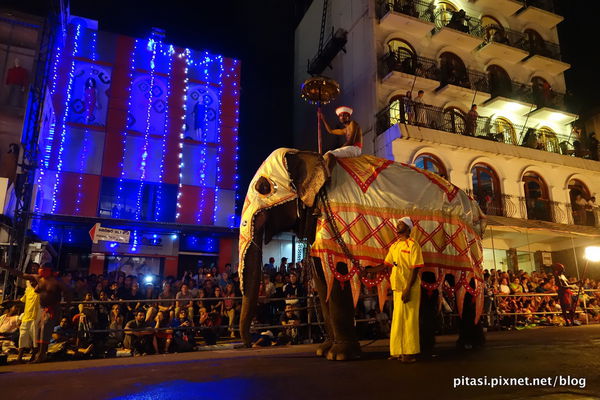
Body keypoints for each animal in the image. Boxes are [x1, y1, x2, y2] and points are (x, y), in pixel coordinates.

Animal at [237, 148, 486, 360]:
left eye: (263, 187)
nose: (250, 343)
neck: (309, 155)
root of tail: (476, 210)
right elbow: (322, 280)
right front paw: (323, 351)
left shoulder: (336, 226)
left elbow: (339, 276)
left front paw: (339, 356)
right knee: (430, 284)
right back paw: (432, 347)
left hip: (465, 243)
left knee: (468, 285)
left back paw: (466, 345)